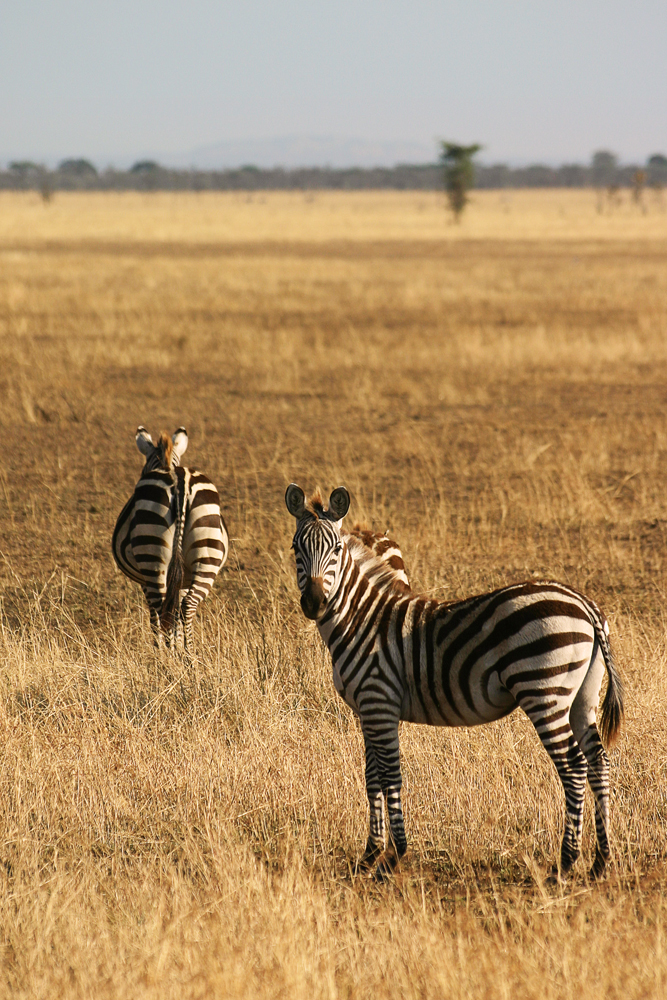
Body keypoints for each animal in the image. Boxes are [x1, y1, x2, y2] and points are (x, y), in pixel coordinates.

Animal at [112, 426, 230, 652]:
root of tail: (180, 480)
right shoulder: (182, 580)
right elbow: (176, 612)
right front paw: (178, 646)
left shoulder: (145, 582)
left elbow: (156, 618)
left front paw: (161, 649)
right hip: (207, 553)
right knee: (187, 605)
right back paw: (189, 656)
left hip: (152, 556)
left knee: (161, 608)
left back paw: (168, 656)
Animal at [286, 488, 628, 880]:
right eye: (296, 547)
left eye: (337, 548)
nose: (314, 603)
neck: (362, 618)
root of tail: (584, 603)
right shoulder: (366, 710)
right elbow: (371, 775)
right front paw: (370, 854)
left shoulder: (380, 702)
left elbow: (390, 775)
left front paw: (393, 856)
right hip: (581, 696)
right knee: (598, 760)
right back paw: (600, 860)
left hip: (544, 692)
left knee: (573, 766)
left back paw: (565, 862)